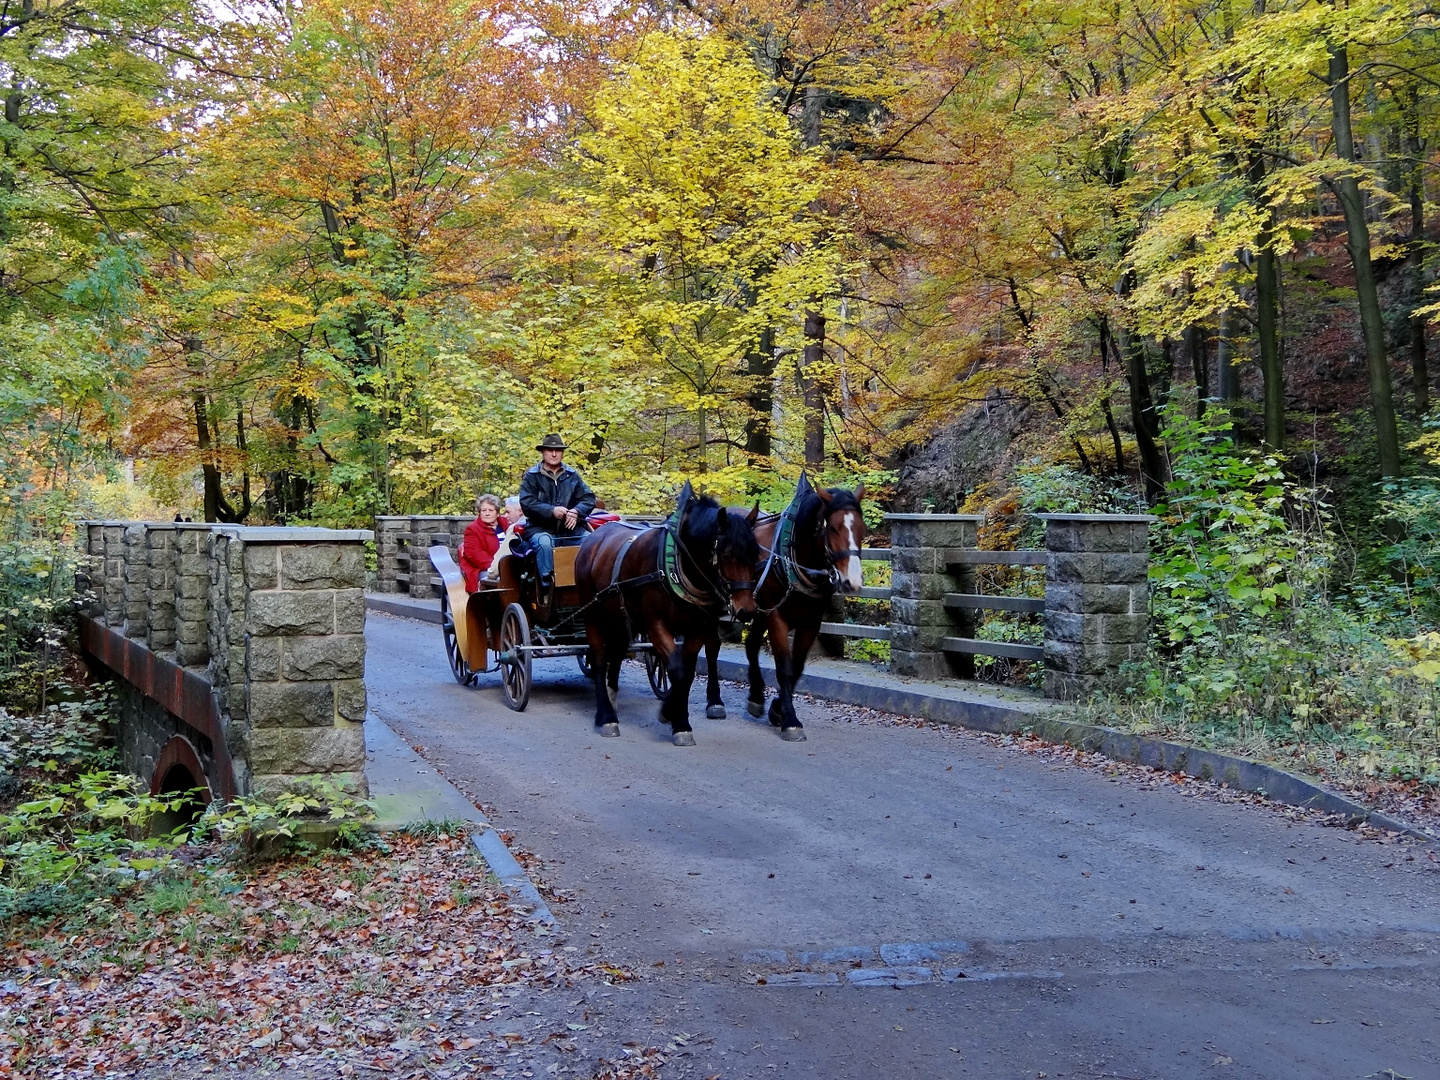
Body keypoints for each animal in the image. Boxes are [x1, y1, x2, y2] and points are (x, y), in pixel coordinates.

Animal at [573, 486, 760, 748]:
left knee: (617, 653)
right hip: (593, 614)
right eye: (726, 554)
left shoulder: (697, 628)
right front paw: (671, 715)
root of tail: (594, 538)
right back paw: (606, 716)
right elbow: (677, 671)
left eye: (755, 553)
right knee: (599, 658)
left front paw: (678, 719)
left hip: (619, 617)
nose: (747, 609)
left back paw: (612, 695)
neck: (678, 564)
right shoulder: (656, 625)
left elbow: (687, 674)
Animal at [731, 475, 864, 743]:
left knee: (751, 645)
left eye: (862, 530)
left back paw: (757, 697)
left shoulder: (811, 621)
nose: (852, 581)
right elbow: (784, 668)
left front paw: (778, 710)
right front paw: (790, 720)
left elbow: (798, 667)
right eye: (833, 528)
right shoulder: (776, 617)